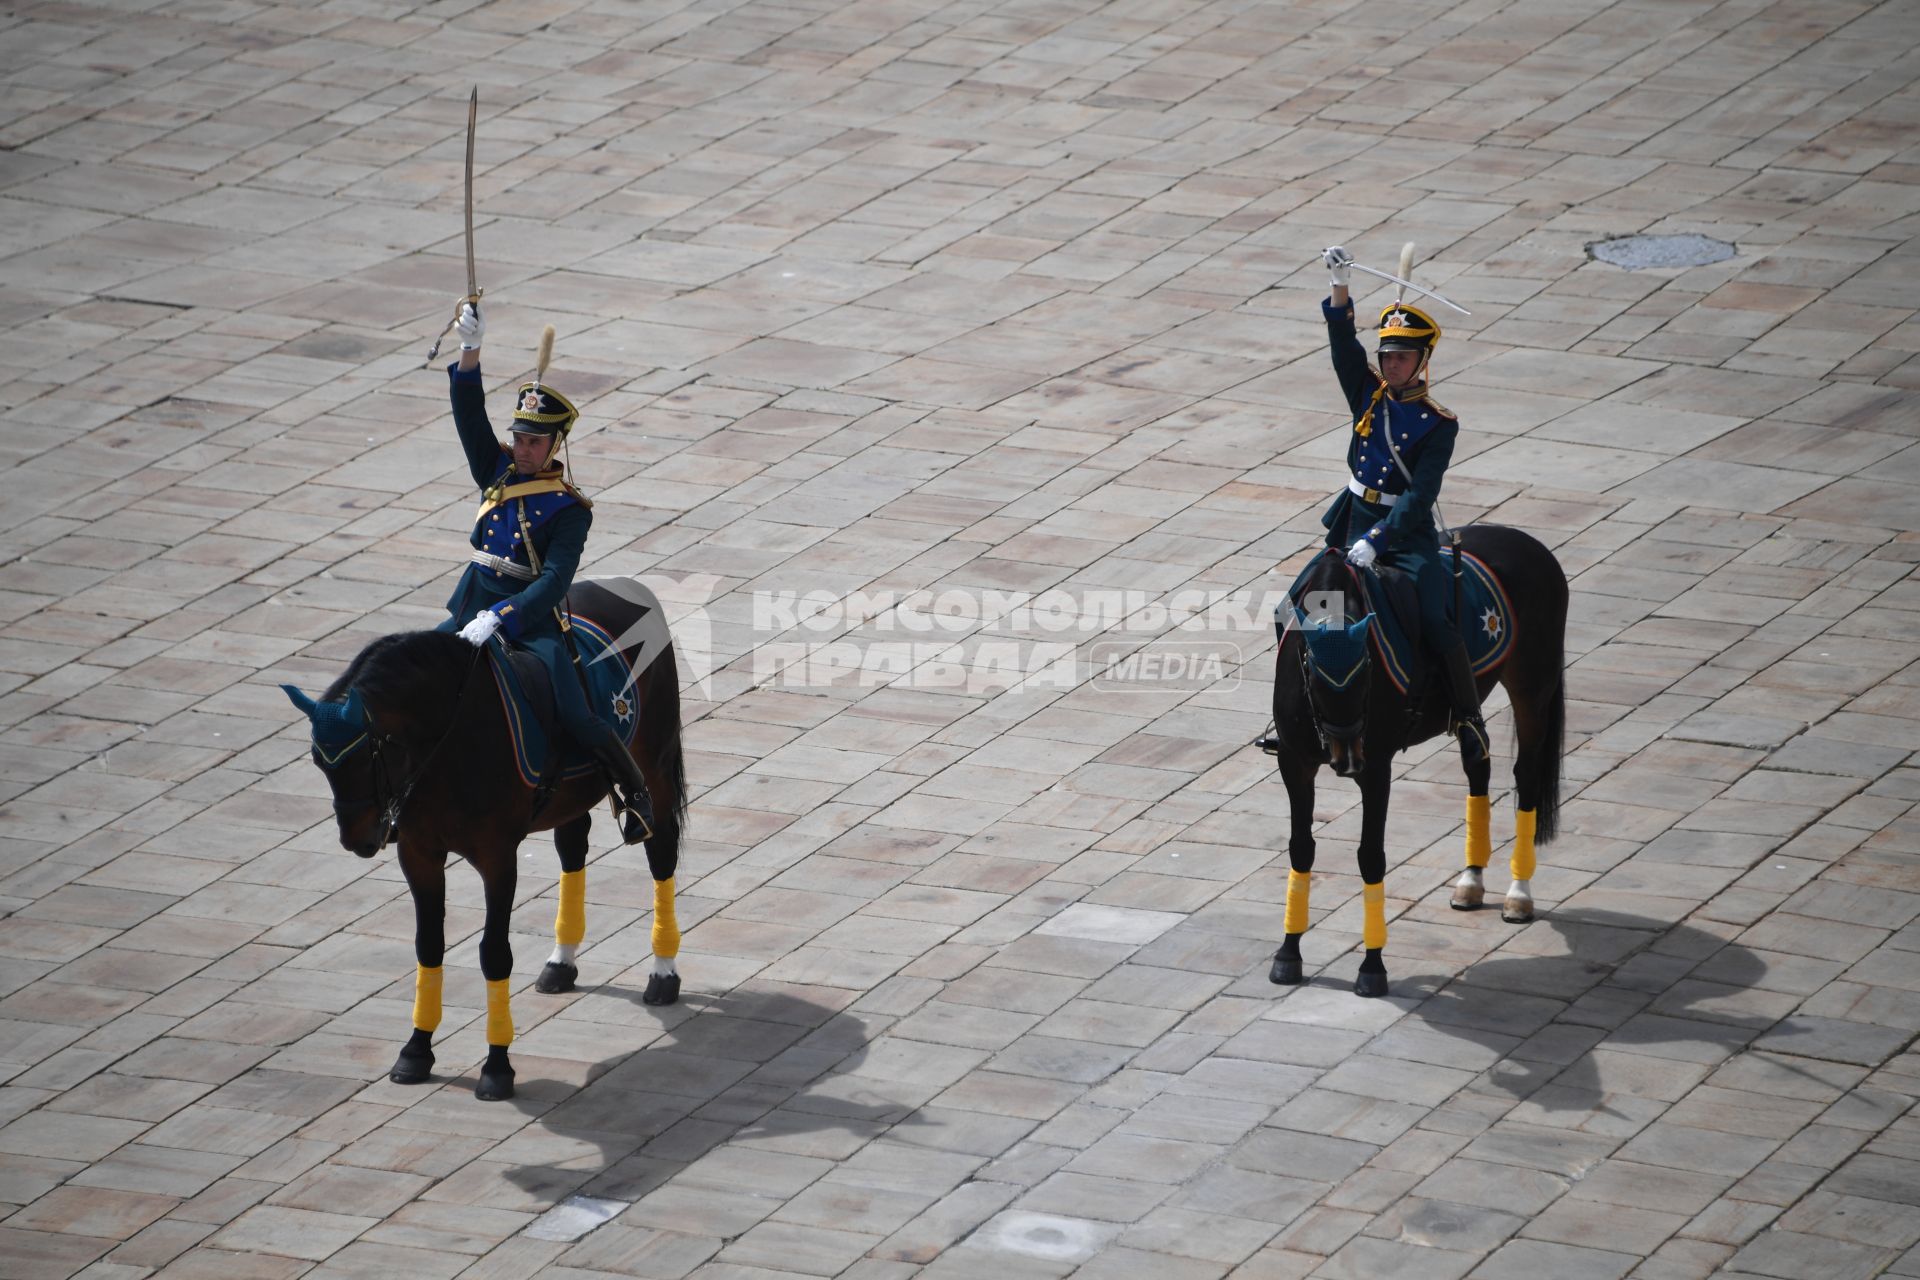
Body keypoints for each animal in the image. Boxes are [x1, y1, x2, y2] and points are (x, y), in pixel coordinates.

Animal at [278, 579, 683, 1105]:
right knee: (572, 850)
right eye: (317, 760)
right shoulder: (418, 854)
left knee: (661, 853)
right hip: (572, 794)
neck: (446, 741)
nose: (358, 839)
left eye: (370, 753)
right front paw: (416, 1051)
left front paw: (497, 1066)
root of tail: (624, 586)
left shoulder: (497, 857)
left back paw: (663, 971)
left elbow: (494, 953)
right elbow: (428, 945)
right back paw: (561, 961)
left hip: (652, 762)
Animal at [1267, 521, 1566, 997]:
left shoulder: (1377, 769)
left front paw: (1372, 966)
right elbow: (1301, 849)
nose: (1346, 760)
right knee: (1477, 762)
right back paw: (1471, 882)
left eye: (1368, 670)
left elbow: (1371, 855)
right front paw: (1288, 953)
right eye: (1312, 674)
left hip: (1533, 687)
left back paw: (1519, 893)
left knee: (1527, 777)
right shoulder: (1295, 763)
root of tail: (1524, 540)